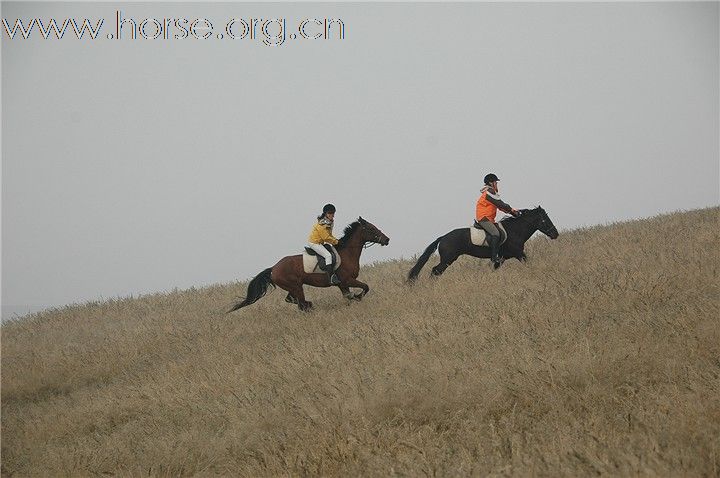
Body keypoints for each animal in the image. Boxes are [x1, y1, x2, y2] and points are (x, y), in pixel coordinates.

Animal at [229, 218, 388, 314]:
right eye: (372, 229)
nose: (387, 239)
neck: (347, 253)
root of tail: (273, 268)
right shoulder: (347, 280)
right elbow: (365, 287)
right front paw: (358, 297)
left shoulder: (342, 284)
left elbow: (348, 295)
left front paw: (353, 299)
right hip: (296, 286)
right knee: (299, 302)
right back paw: (310, 306)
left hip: (293, 287)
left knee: (291, 300)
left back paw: (310, 306)